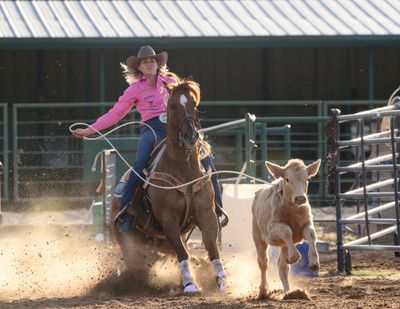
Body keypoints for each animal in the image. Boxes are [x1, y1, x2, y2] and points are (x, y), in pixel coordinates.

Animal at [111, 79, 227, 292]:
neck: (183, 168)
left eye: (194, 105)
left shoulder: (206, 213)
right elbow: (182, 252)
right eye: (172, 106)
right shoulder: (168, 219)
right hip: (128, 240)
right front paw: (190, 283)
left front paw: (222, 280)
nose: (191, 136)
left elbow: (211, 246)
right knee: (138, 266)